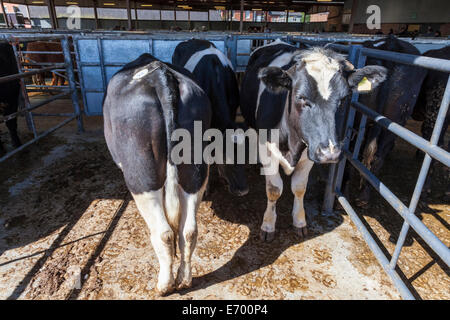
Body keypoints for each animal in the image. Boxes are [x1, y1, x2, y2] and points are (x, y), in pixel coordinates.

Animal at [103, 52, 213, 296]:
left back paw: (164, 285)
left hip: (141, 173)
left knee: (164, 232)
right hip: (196, 168)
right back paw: (184, 279)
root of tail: (161, 77)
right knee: (188, 230)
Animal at [239, 40, 386, 240]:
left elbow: (299, 187)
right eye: (301, 97)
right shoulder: (268, 150)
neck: (291, 143)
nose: (329, 154)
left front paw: (299, 221)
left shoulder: (310, 152)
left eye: (343, 99)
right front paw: (268, 225)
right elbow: (274, 189)